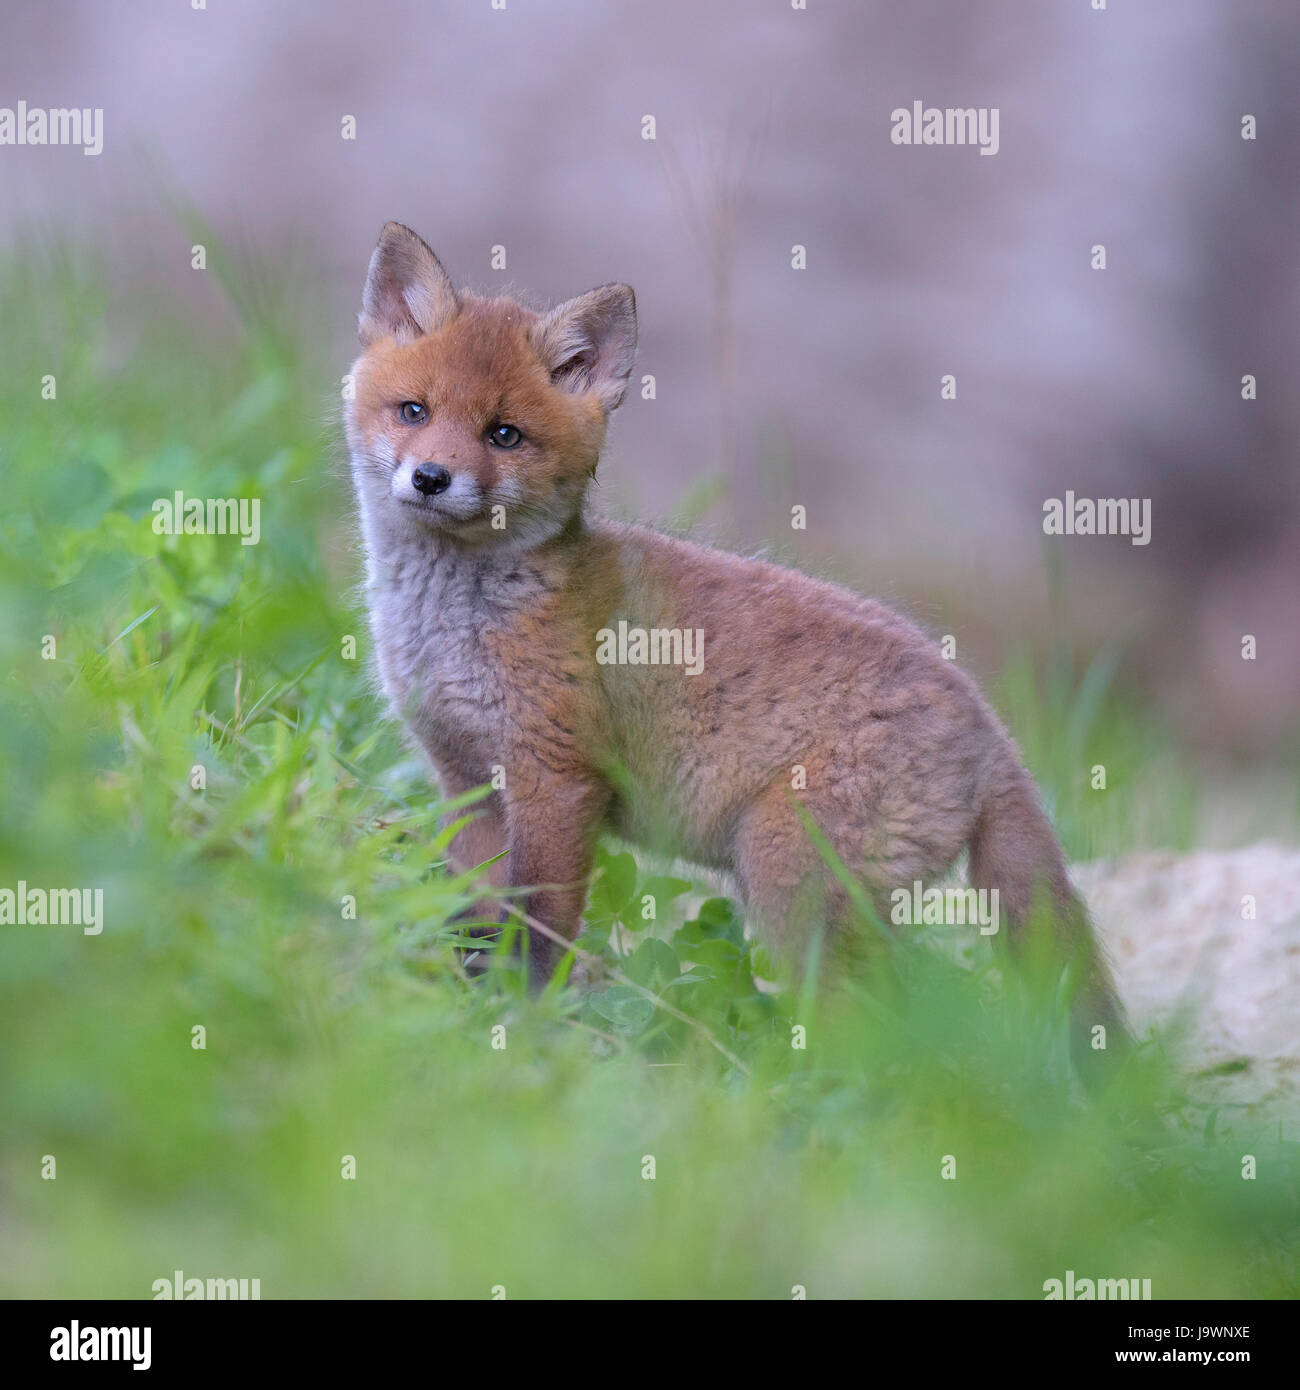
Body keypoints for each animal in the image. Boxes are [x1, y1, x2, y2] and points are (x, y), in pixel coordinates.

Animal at [343, 225, 1128, 1073]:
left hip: (784, 874)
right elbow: (477, 905)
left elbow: (541, 927)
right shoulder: (465, 779)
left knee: (882, 1031)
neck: (454, 625)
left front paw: (519, 1015)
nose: (430, 476)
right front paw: (468, 987)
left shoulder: (557, 780)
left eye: (503, 434)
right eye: (414, 411)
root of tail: (991, 729)